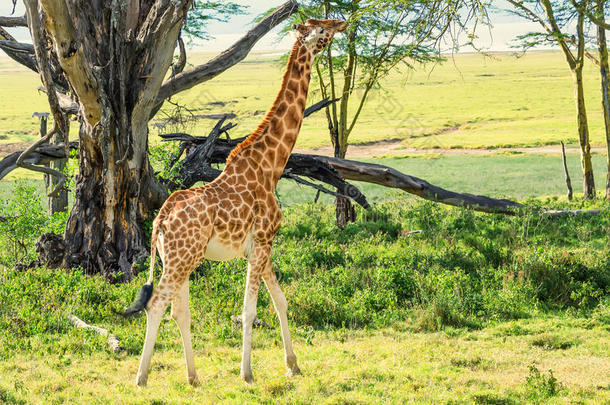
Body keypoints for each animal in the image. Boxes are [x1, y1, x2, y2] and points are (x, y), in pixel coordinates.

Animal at [124, 18, 346, 386]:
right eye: (321, 28)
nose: (342, 22)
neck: (271, 165)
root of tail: (160, 219)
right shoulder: (262, 241)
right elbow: (249, 310)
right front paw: (248, 373)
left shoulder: (260, 247)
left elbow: (281, 301)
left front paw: (293, 365)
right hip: (182, 259)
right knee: (157, 305)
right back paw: (141, 378)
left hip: (178, 259)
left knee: (179, 310)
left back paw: (193, 377)